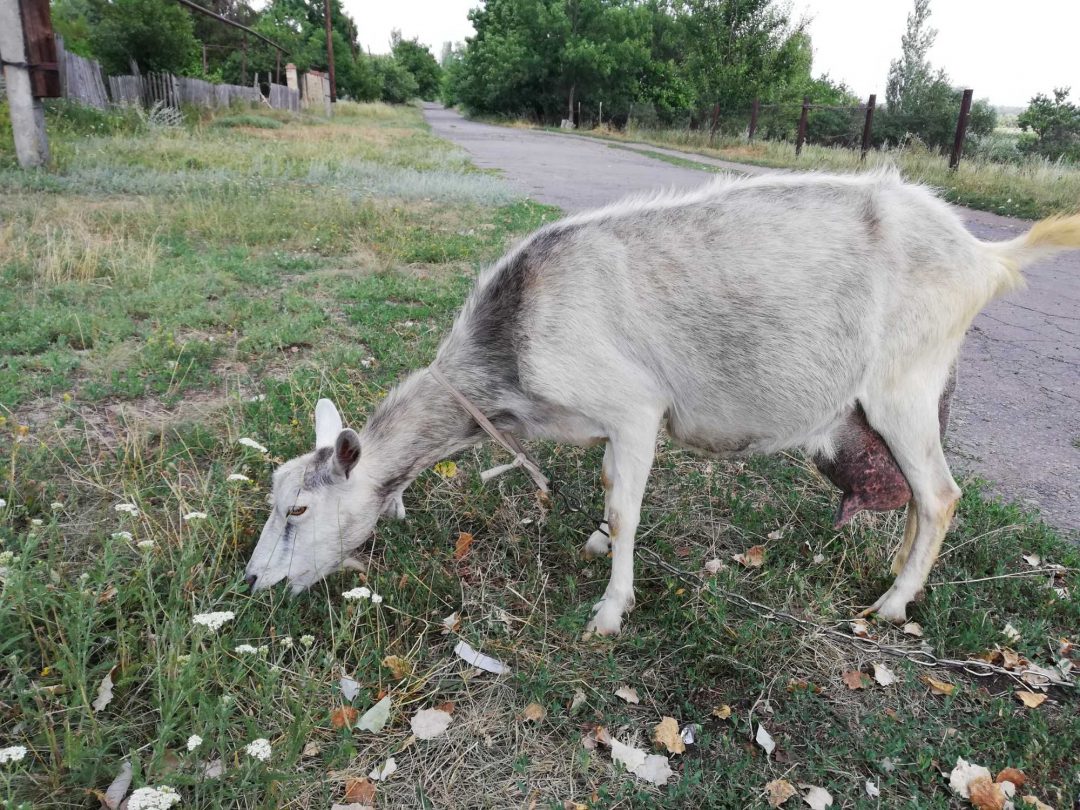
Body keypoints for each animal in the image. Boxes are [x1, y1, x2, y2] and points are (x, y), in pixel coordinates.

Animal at [245, 171, 1080, 639]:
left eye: (299, 510)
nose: (251, 584)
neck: (508, 348)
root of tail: (984, 258)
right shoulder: (606, 426)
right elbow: (612, 486)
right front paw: (593, 544)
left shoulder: (634, 406)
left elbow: (629, 508)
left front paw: (610, 610)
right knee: (916, 497)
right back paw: (898, 580)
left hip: (903, 385)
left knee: (939, 495)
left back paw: (893, 606)